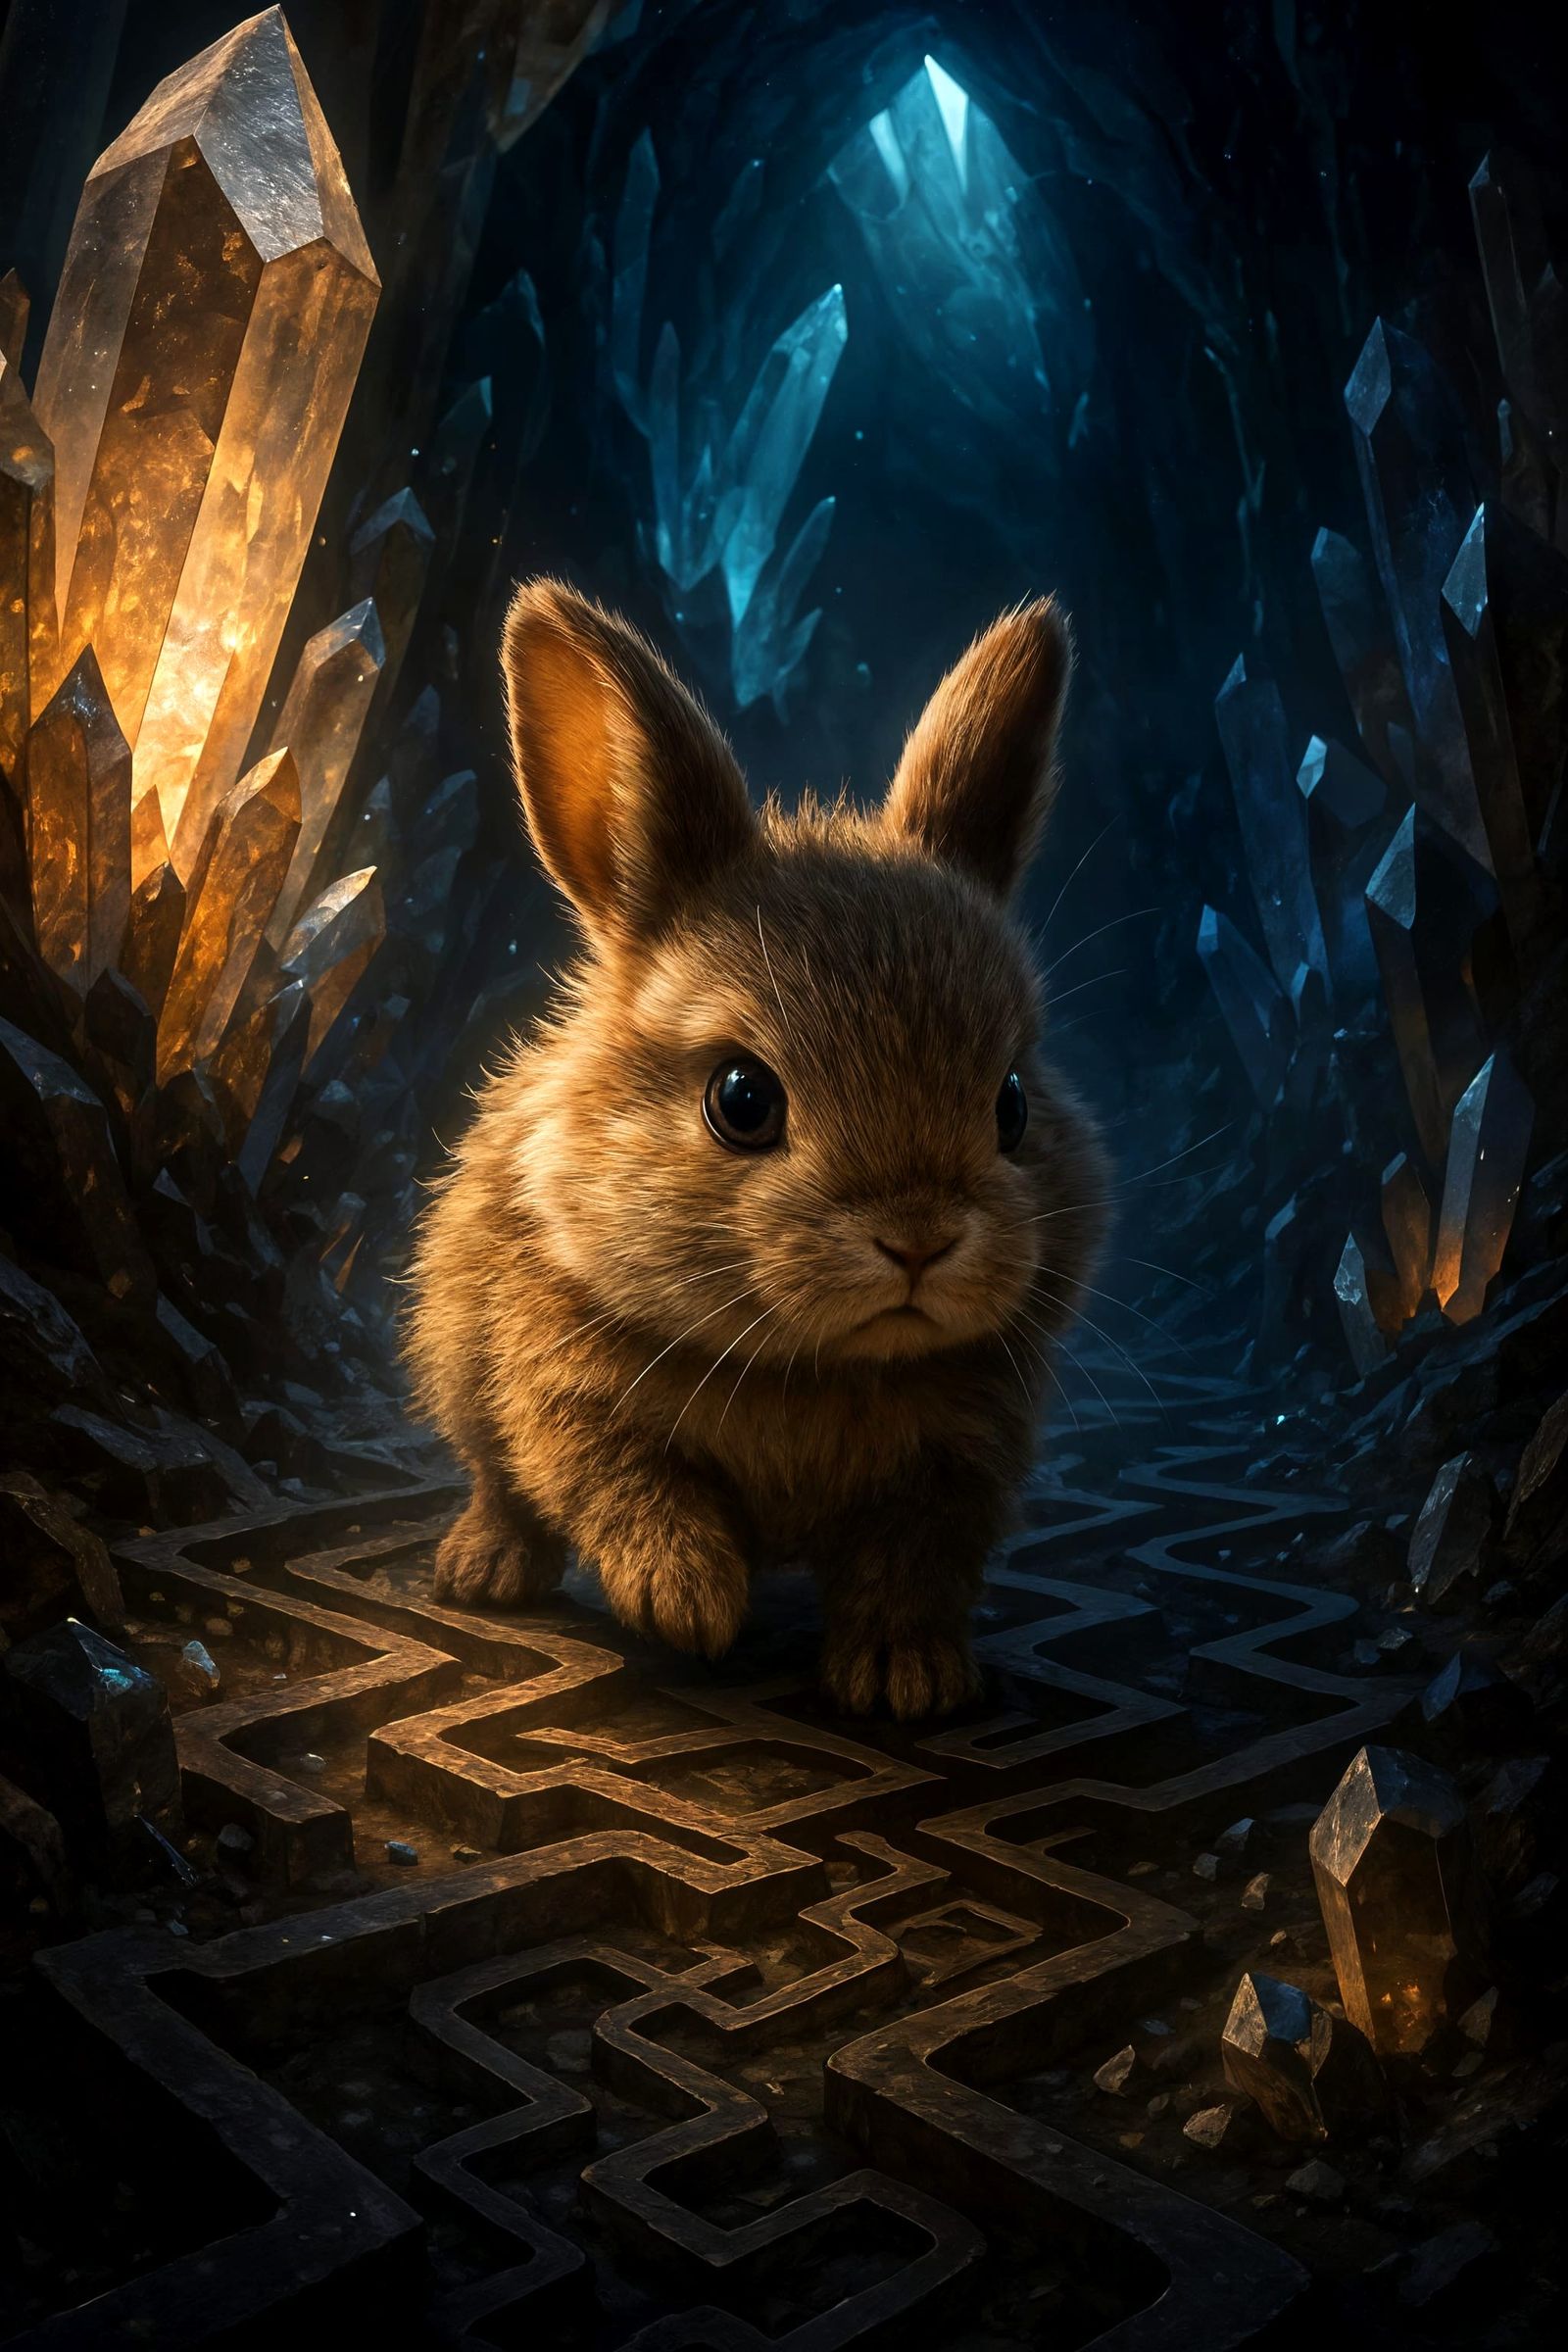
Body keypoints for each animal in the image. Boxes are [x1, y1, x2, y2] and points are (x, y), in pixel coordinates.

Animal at [406, 578, 1108, 1720]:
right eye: (741, 1100)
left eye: (1009, 1104)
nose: (919, 1241)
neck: (814, 1367)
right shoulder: (559, 1392)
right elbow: (622, 1484)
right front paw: (688, 1601)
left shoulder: (956, 1470)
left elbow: (912, 1566)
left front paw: (906, 1679)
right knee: (501, 1485)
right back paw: (485, 1568)